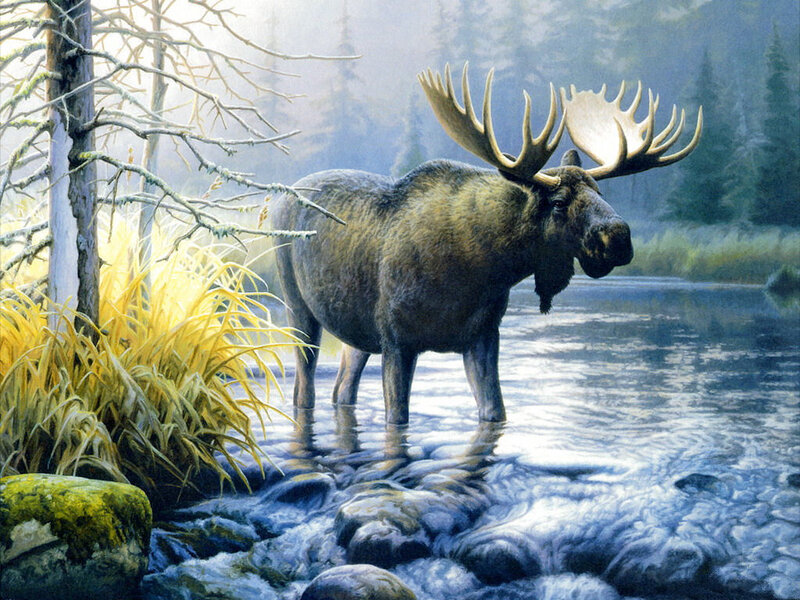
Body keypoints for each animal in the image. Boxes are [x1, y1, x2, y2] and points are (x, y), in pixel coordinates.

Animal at [271, 64, 702, 425]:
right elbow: (398, 420)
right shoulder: (396, 340)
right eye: (559, 202)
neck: (484, 268)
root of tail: (276, 197)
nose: (619, 237)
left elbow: (495, 413)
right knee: (304, 389)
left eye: (599, 191)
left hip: (356, 331)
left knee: (342, 389)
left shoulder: (483, 336)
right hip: (298, 307)